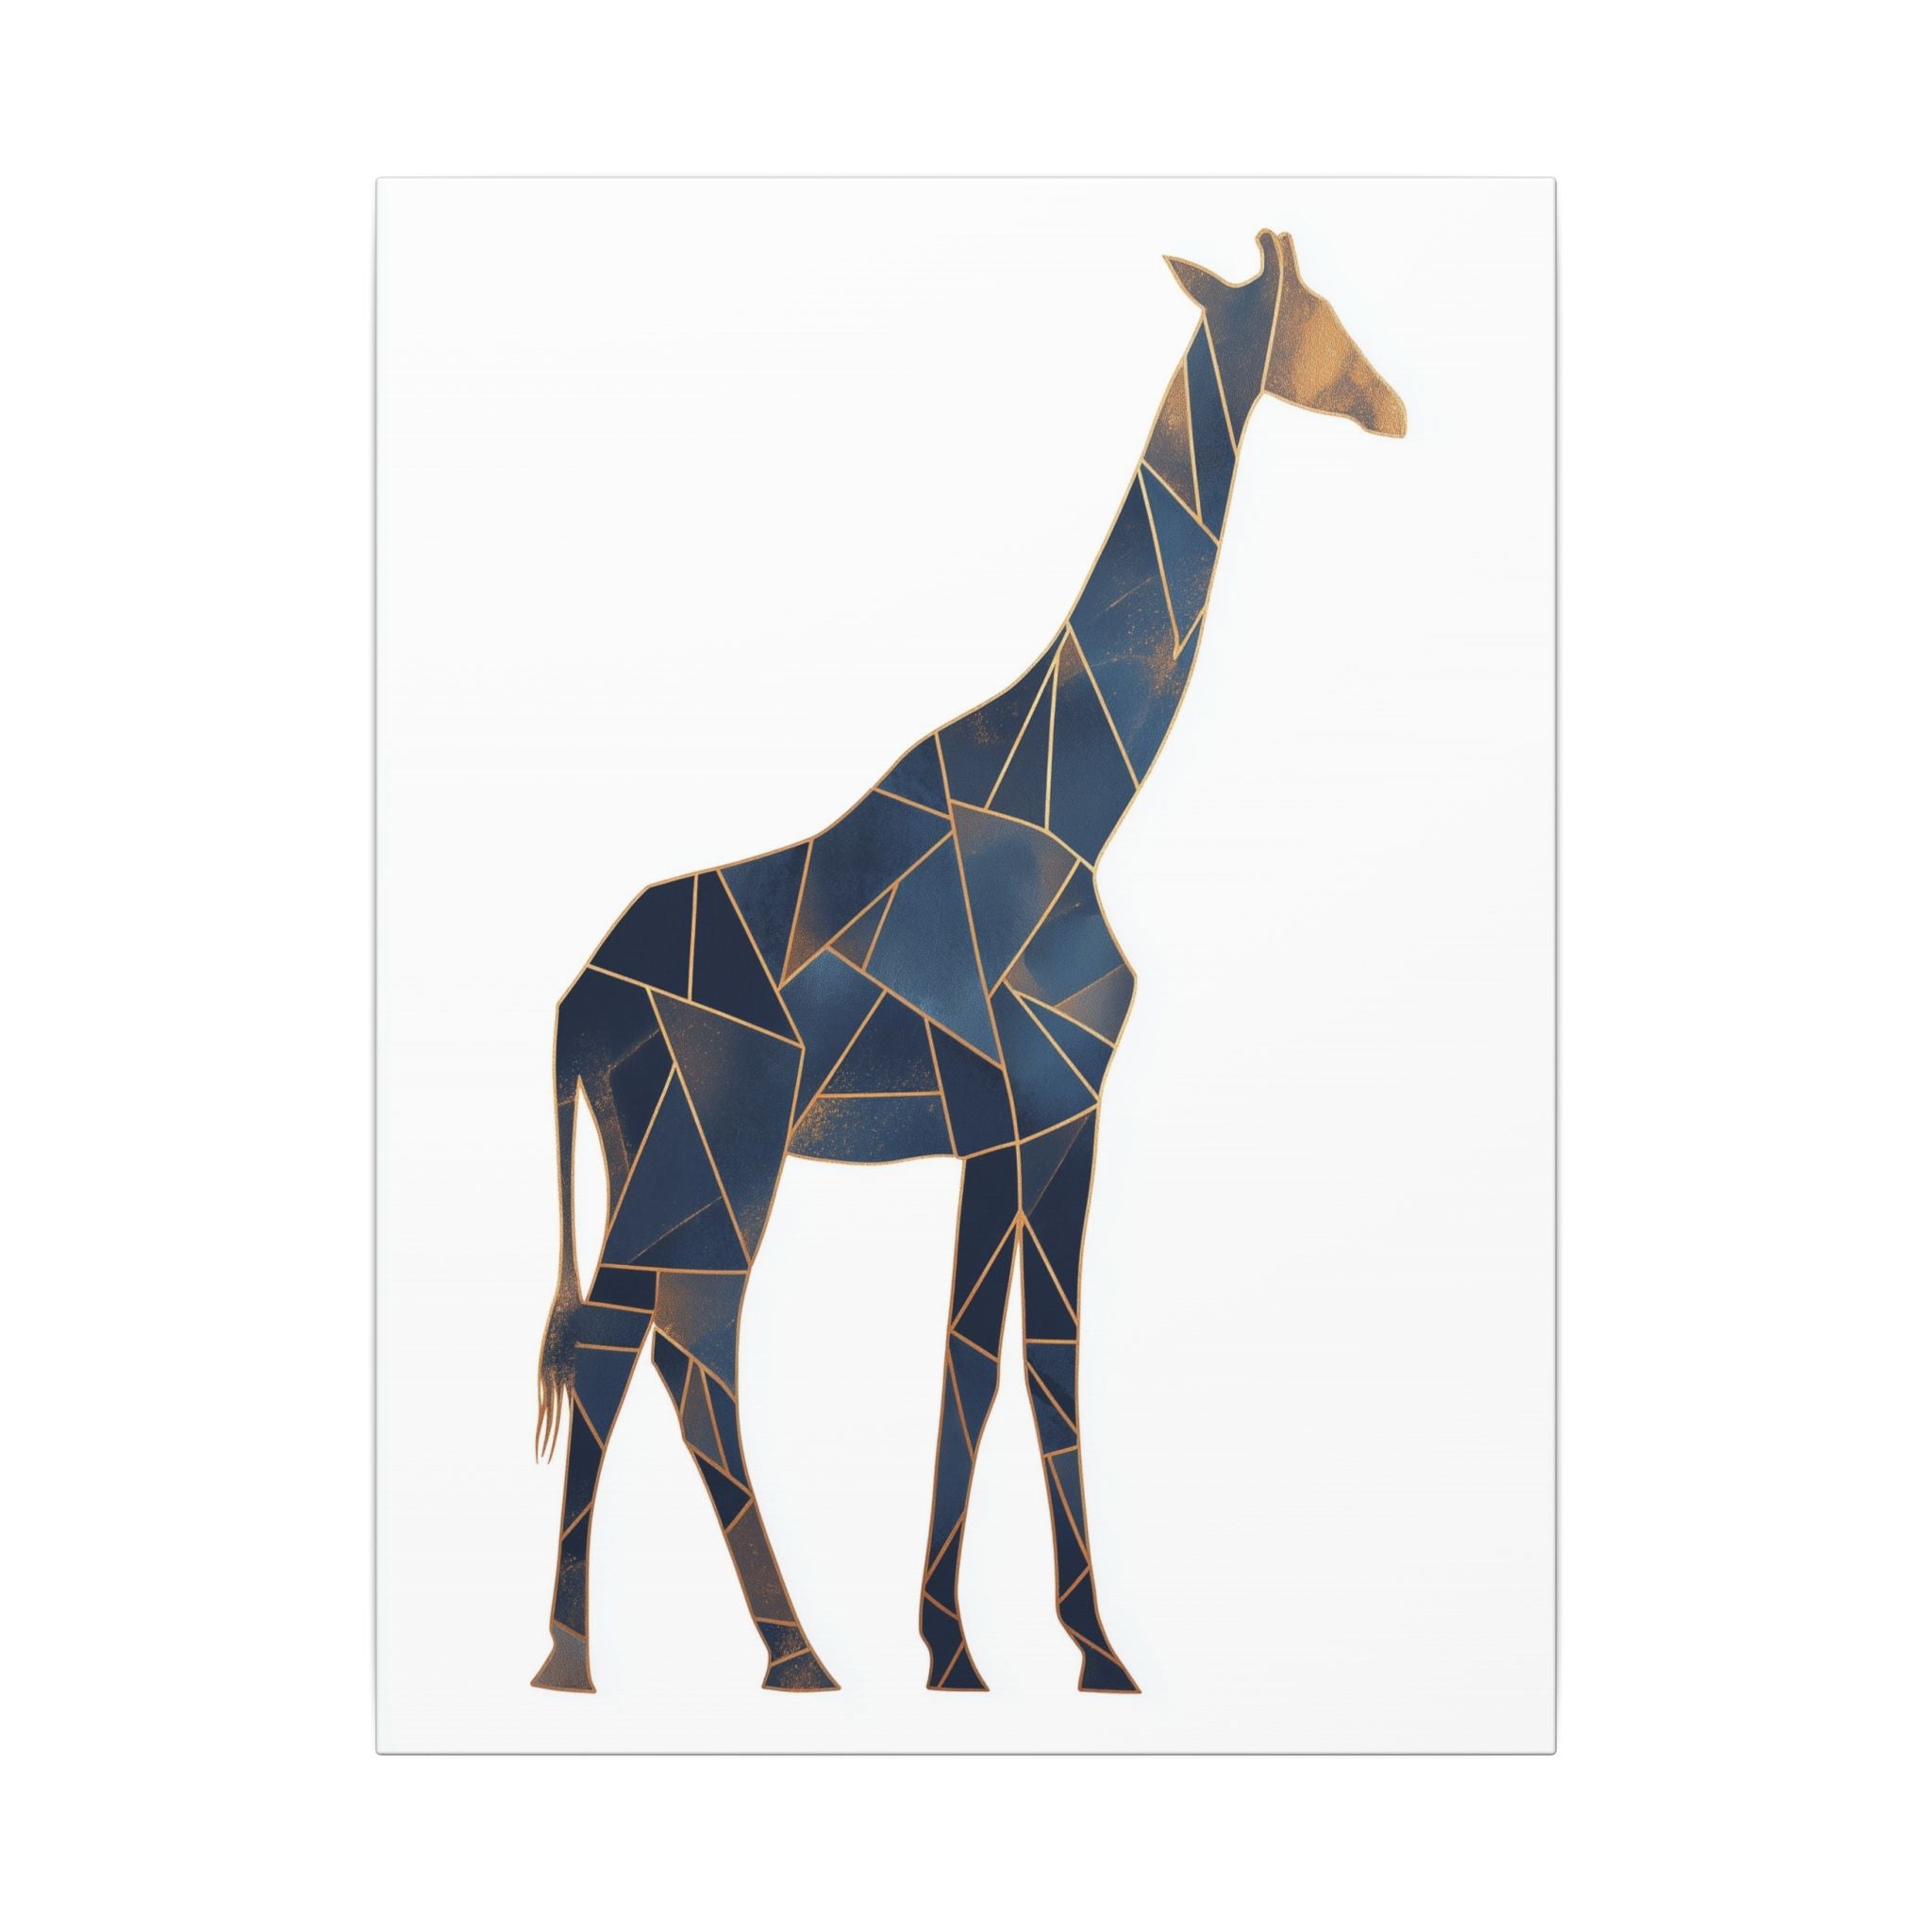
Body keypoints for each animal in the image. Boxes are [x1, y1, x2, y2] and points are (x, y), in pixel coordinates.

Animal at [529, 229, 1406, 1697]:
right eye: (1319, 313)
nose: (1393, 407)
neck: (1081, 801)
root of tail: (576, 1002)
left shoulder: (1031, 1121)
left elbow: (1002, 1360)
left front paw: (1013, 1645)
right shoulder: (1040, 1107)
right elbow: (1013, 1361)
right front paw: (1027, 1651)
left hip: (653, 1150)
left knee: (652, 1343)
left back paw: (748, 1651)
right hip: (717, 1149)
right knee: (661, 1342)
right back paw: (625, 1658)